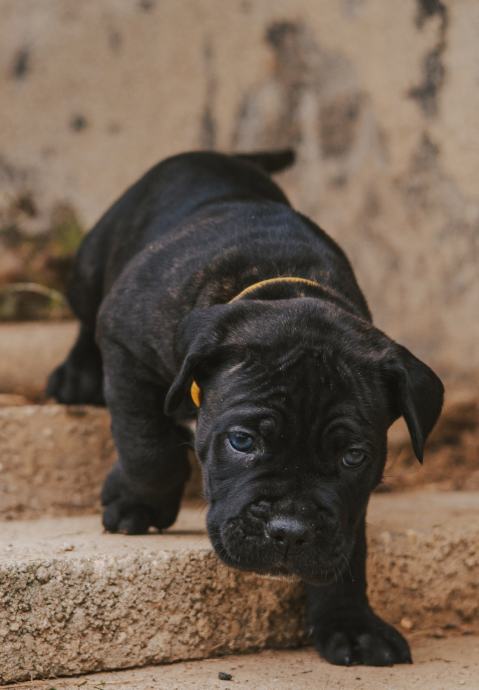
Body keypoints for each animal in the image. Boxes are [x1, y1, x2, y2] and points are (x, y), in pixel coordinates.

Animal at [47, 149, 444, 660]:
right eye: (242, 441)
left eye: (353, 456)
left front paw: (352, 622)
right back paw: (75, 378)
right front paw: (138, 504)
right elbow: (146, 446)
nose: (289, 529)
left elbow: (350, 542)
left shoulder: (350, 501)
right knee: (83, 321)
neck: (282, 289)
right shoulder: (126, 346)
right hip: (91, 266)